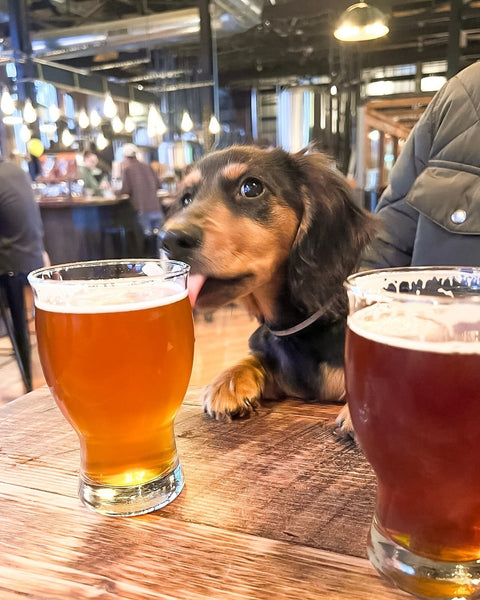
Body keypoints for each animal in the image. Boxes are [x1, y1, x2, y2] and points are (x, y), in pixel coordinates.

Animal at [161, 145, 377, 434]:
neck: (296, 330)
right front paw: (227, 381)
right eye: (186, 199)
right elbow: (257, 356)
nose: (169, 240)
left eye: (251, 187)